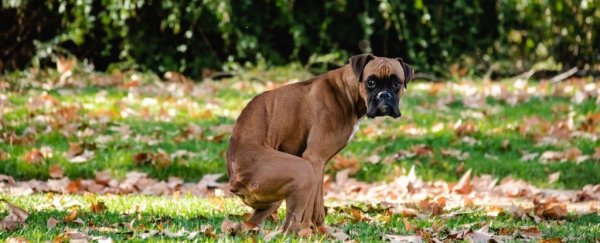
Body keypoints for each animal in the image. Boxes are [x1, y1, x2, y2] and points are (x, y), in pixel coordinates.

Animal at [225, 53, 412, 234]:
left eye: (396, 83)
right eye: (371, 82)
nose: (384, 95)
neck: (346, 91)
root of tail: (234, 181)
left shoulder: (320, 165)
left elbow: (318, 203)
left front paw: (321, 230)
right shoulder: (313, 159)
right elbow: (308, 208)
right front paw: (307, 232)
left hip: (274, 200)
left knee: (256, 222)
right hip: (303, 171)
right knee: (289, 224)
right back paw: (297, 233)